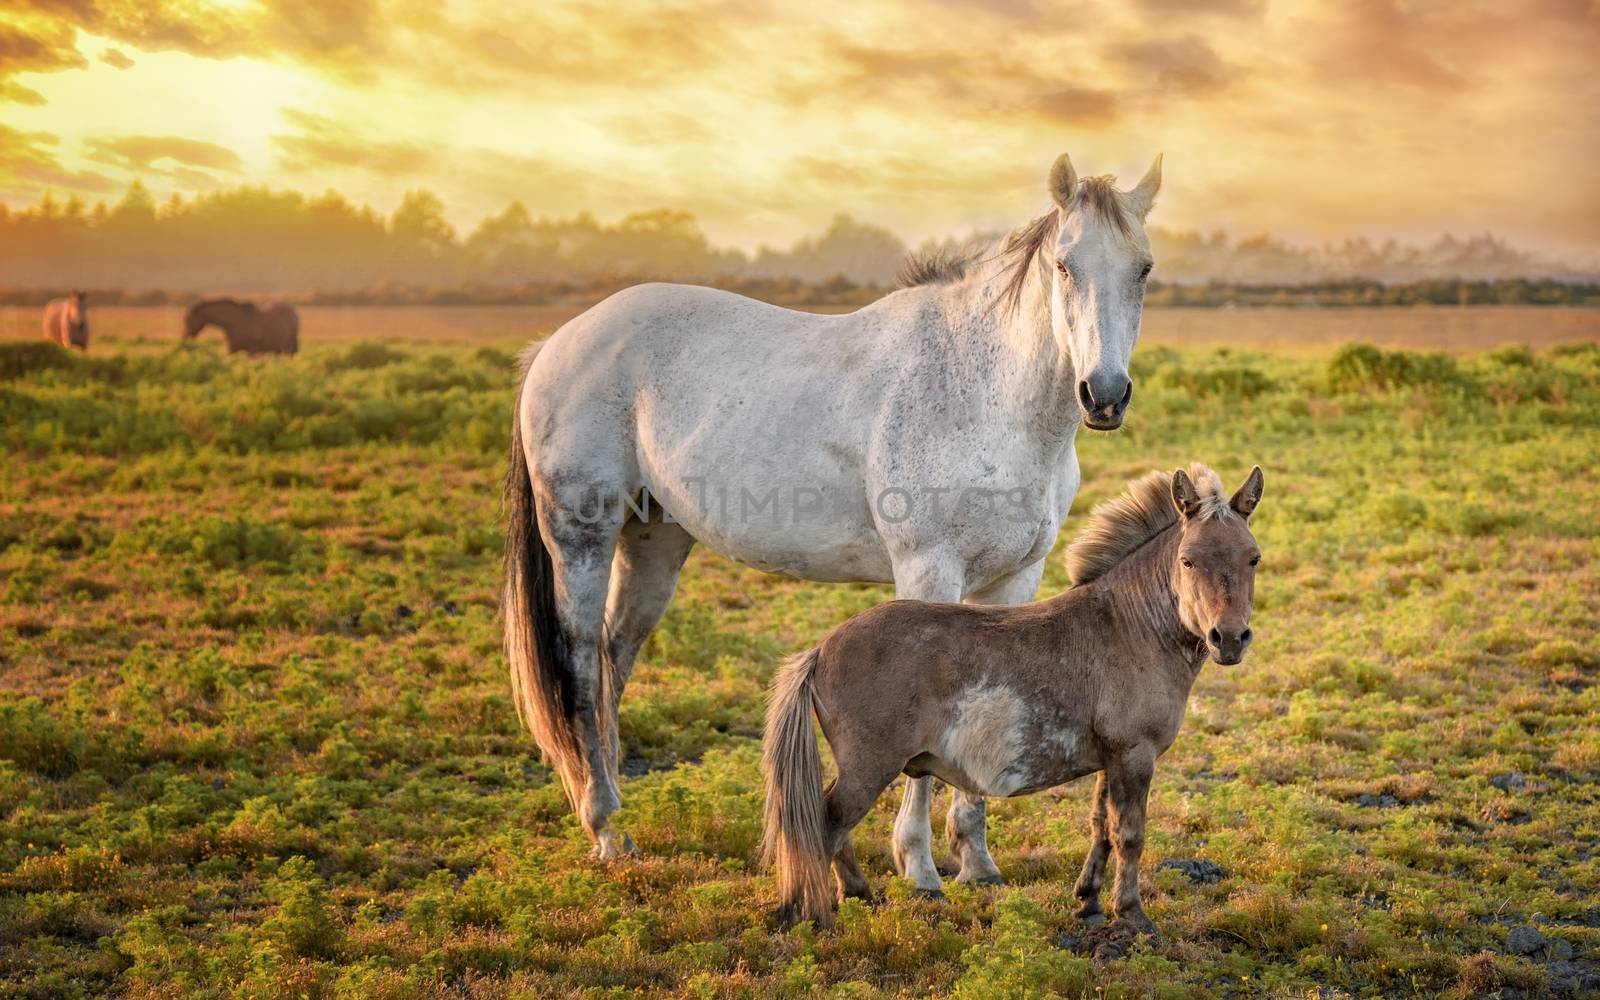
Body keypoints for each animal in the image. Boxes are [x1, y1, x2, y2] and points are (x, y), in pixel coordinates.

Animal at [502, 156, 1164, 896]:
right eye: (1063, 265)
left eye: (1143, 268)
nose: (1104, 395)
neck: (982, 389)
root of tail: (556, 344)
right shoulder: (928, 571)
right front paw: (919, 866)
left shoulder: (1016, 579)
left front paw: (977, 861)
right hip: (581, 539)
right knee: (582, 666)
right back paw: (605, 830)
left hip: (653, 544)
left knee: (615, 658)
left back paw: (618, 812)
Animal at [761, 464, 1260, 947]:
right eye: (1188, 560)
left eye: (1253, 558)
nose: (1229, 638)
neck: (1129, 625)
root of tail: (822, 649)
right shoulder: (1135, 756)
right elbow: (1130, 836)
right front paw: (1133, 917)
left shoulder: (1111, 759)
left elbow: (1100, 827)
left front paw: (1089, 903)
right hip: (868, 769)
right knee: (826, 826)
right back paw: (818, 917)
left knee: (831, 826)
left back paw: (860, 897)